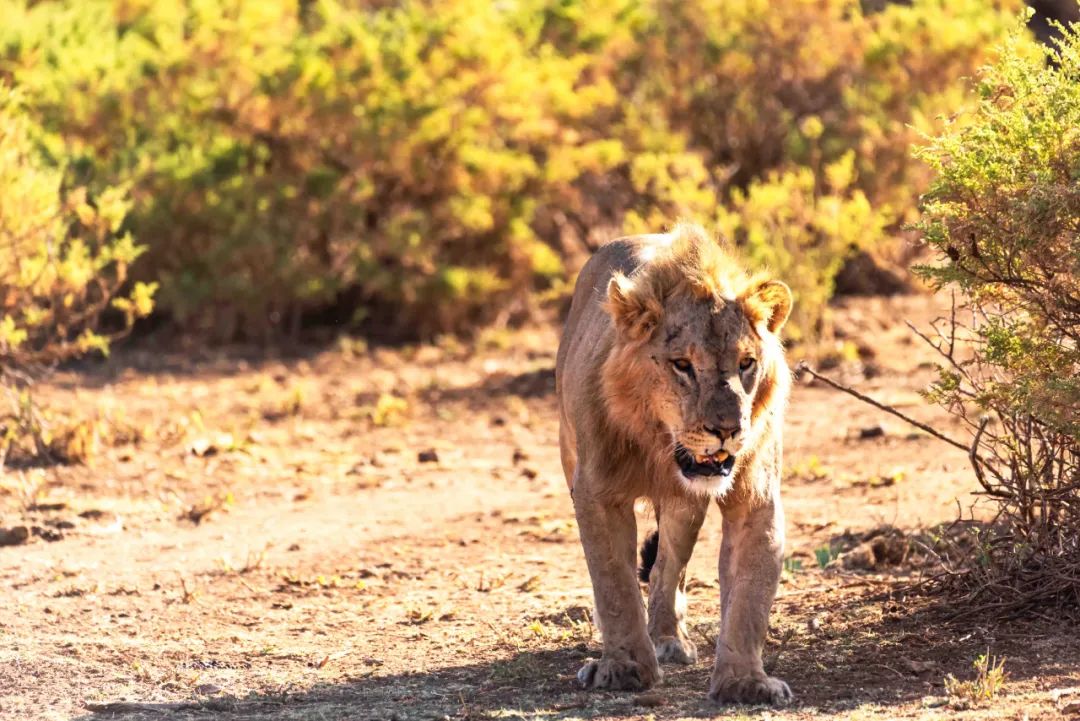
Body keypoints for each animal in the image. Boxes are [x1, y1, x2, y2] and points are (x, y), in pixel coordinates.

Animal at [557, 221, 794, 703]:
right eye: (682, 364)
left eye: (747, 363)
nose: (727, 429)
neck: (660, 446)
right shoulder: (596, 492)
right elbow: (614, 583)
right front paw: (624, 669)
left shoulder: (755, 495)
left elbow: (750, 594)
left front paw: (745, 681)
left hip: (685, 510)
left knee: (669, 567)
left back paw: (668, 637)